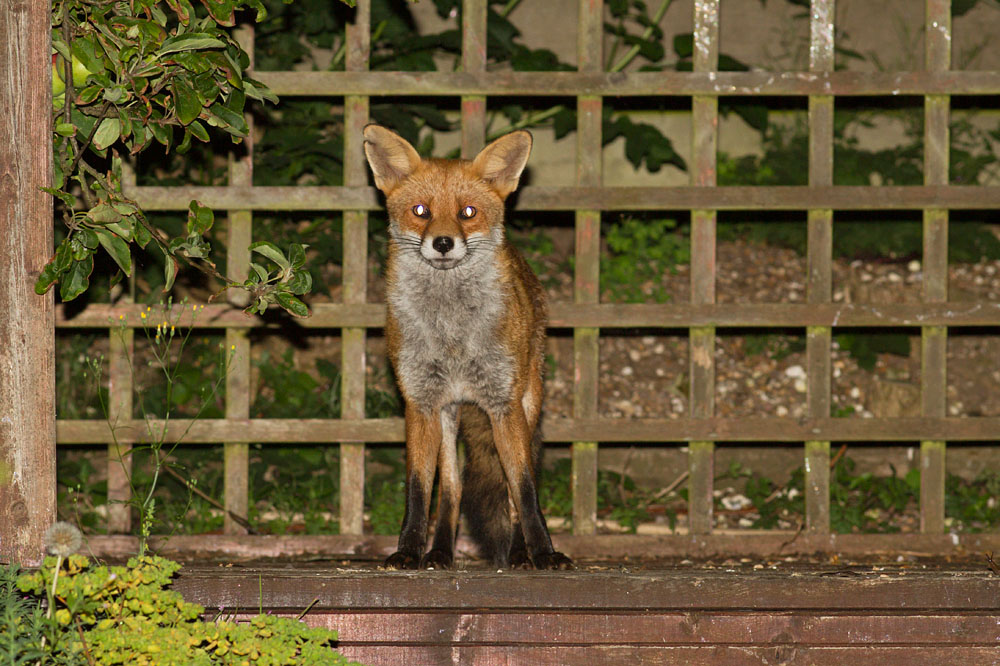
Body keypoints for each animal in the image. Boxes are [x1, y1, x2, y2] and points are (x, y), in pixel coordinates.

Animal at [362, 124, 573, 571]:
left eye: (468, 212)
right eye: (421, 211)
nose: (443, 243)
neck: (452, 336)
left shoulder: (503, 404)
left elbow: (524, 490)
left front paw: (544, 552)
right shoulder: (420, 404)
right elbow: (419, 490)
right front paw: (408, 550)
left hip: (527, 402)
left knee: (512, 491)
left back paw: (519, 553)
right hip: (448, 418)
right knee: (452, 489)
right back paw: (440, 550)